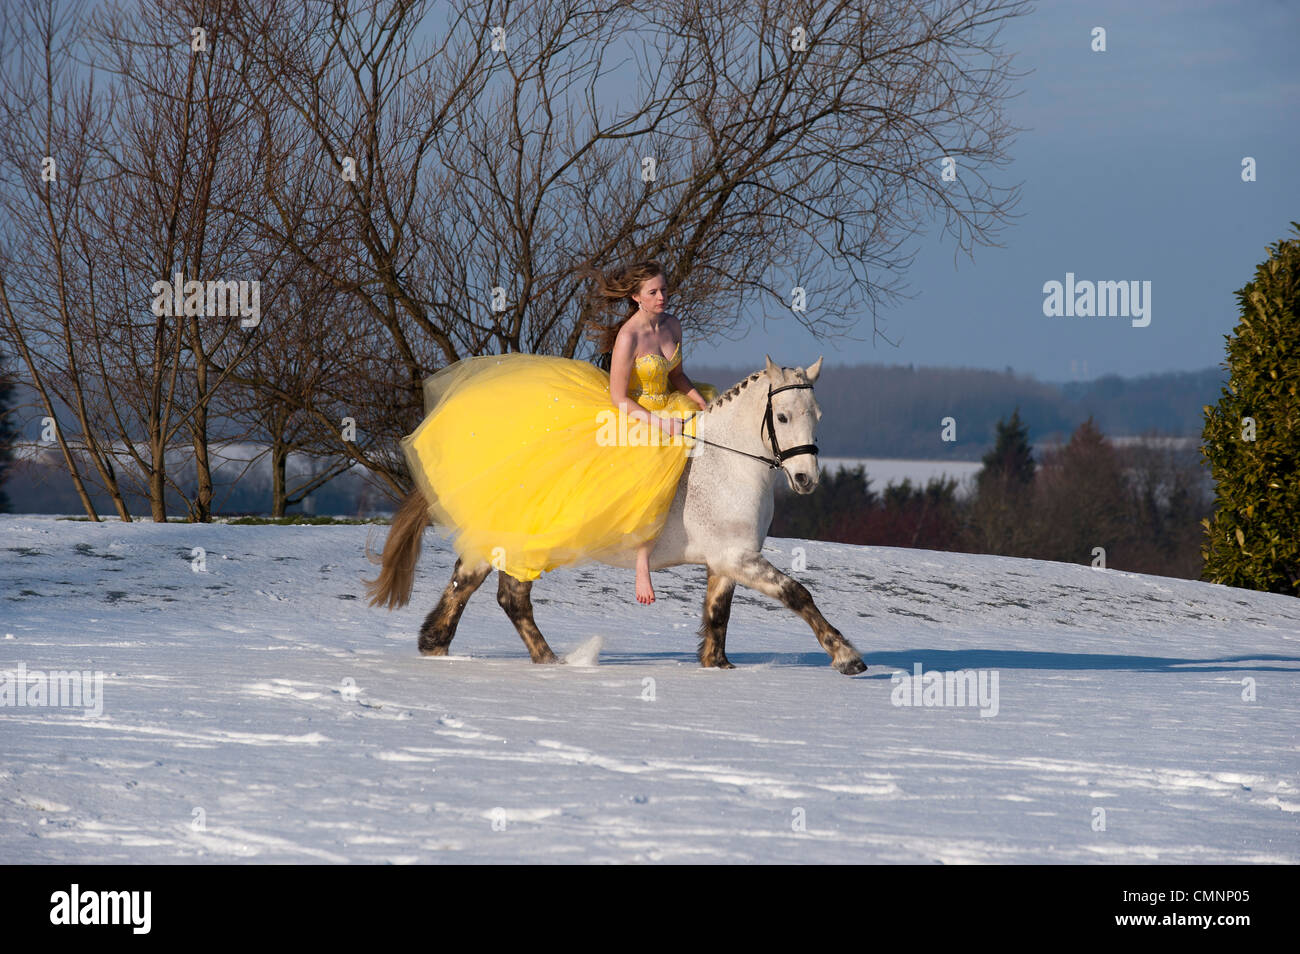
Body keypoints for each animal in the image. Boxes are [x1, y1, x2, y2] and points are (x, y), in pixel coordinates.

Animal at [366, 356, 868, 675]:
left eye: (817, 414)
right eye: (781, 417)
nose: (805, 479)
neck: (727, 463)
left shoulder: (726, 561)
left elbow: (718, 613)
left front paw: (717, 665)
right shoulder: (738, 558)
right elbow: (798, 593)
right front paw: (847, 657)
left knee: (492, 592)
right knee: (491, 592)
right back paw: (529, 659)